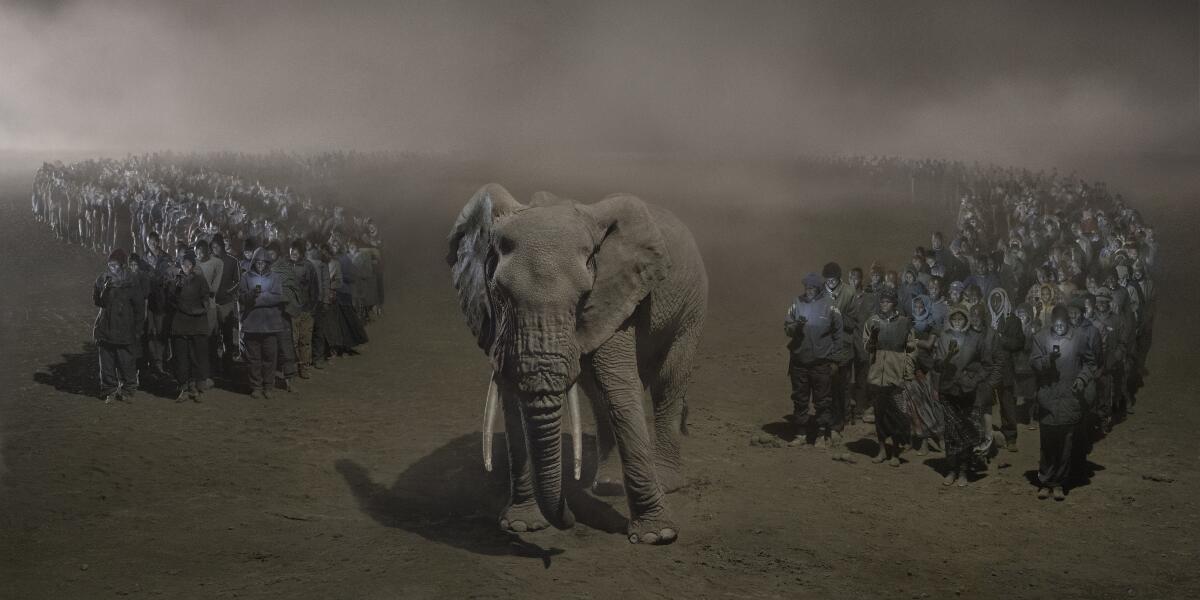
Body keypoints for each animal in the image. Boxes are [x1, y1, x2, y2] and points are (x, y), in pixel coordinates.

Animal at [448, 182, 705, 544]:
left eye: (583, 296)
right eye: (499, 293)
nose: (569, 517)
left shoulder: (615, 293)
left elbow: (619, 387)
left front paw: (658, 536)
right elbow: (512, 399)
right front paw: (522, 526)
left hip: (692, 307)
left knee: (668, 382)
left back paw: (666, 483)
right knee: (596, 396)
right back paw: (608, 485)